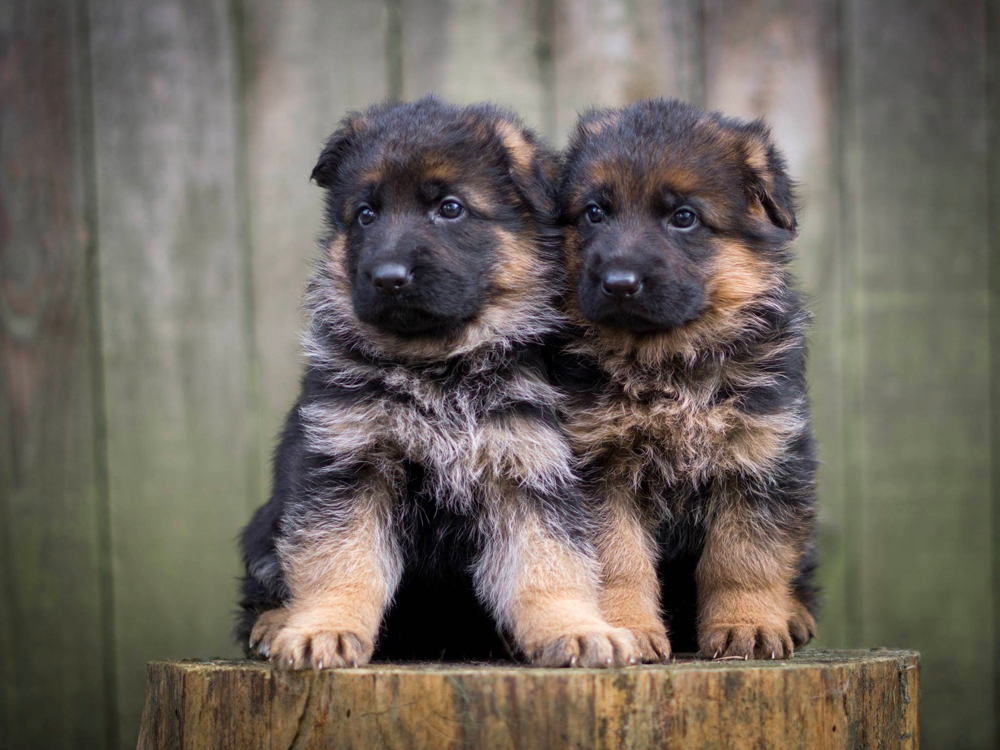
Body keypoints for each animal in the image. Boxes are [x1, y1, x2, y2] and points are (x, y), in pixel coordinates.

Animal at [237, 95, 636, 668]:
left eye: (450, 208)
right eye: (366, 214)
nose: (387, 277)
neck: (439, 366)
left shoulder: (530, 469)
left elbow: (550, 561)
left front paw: (575, 627)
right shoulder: (348, 464)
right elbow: (339, 558)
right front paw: (324, 628)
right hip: (264, 529)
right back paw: (274, 623)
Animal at [556, 100, 820, 664]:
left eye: (684, 218)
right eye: (595, 212)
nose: (619, 283)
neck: (670, 360)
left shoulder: (762, 455)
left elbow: (744, 555)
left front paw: (747, 623)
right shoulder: (598, 468)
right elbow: (619, 560)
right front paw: (625, 628)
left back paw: (793, 613)